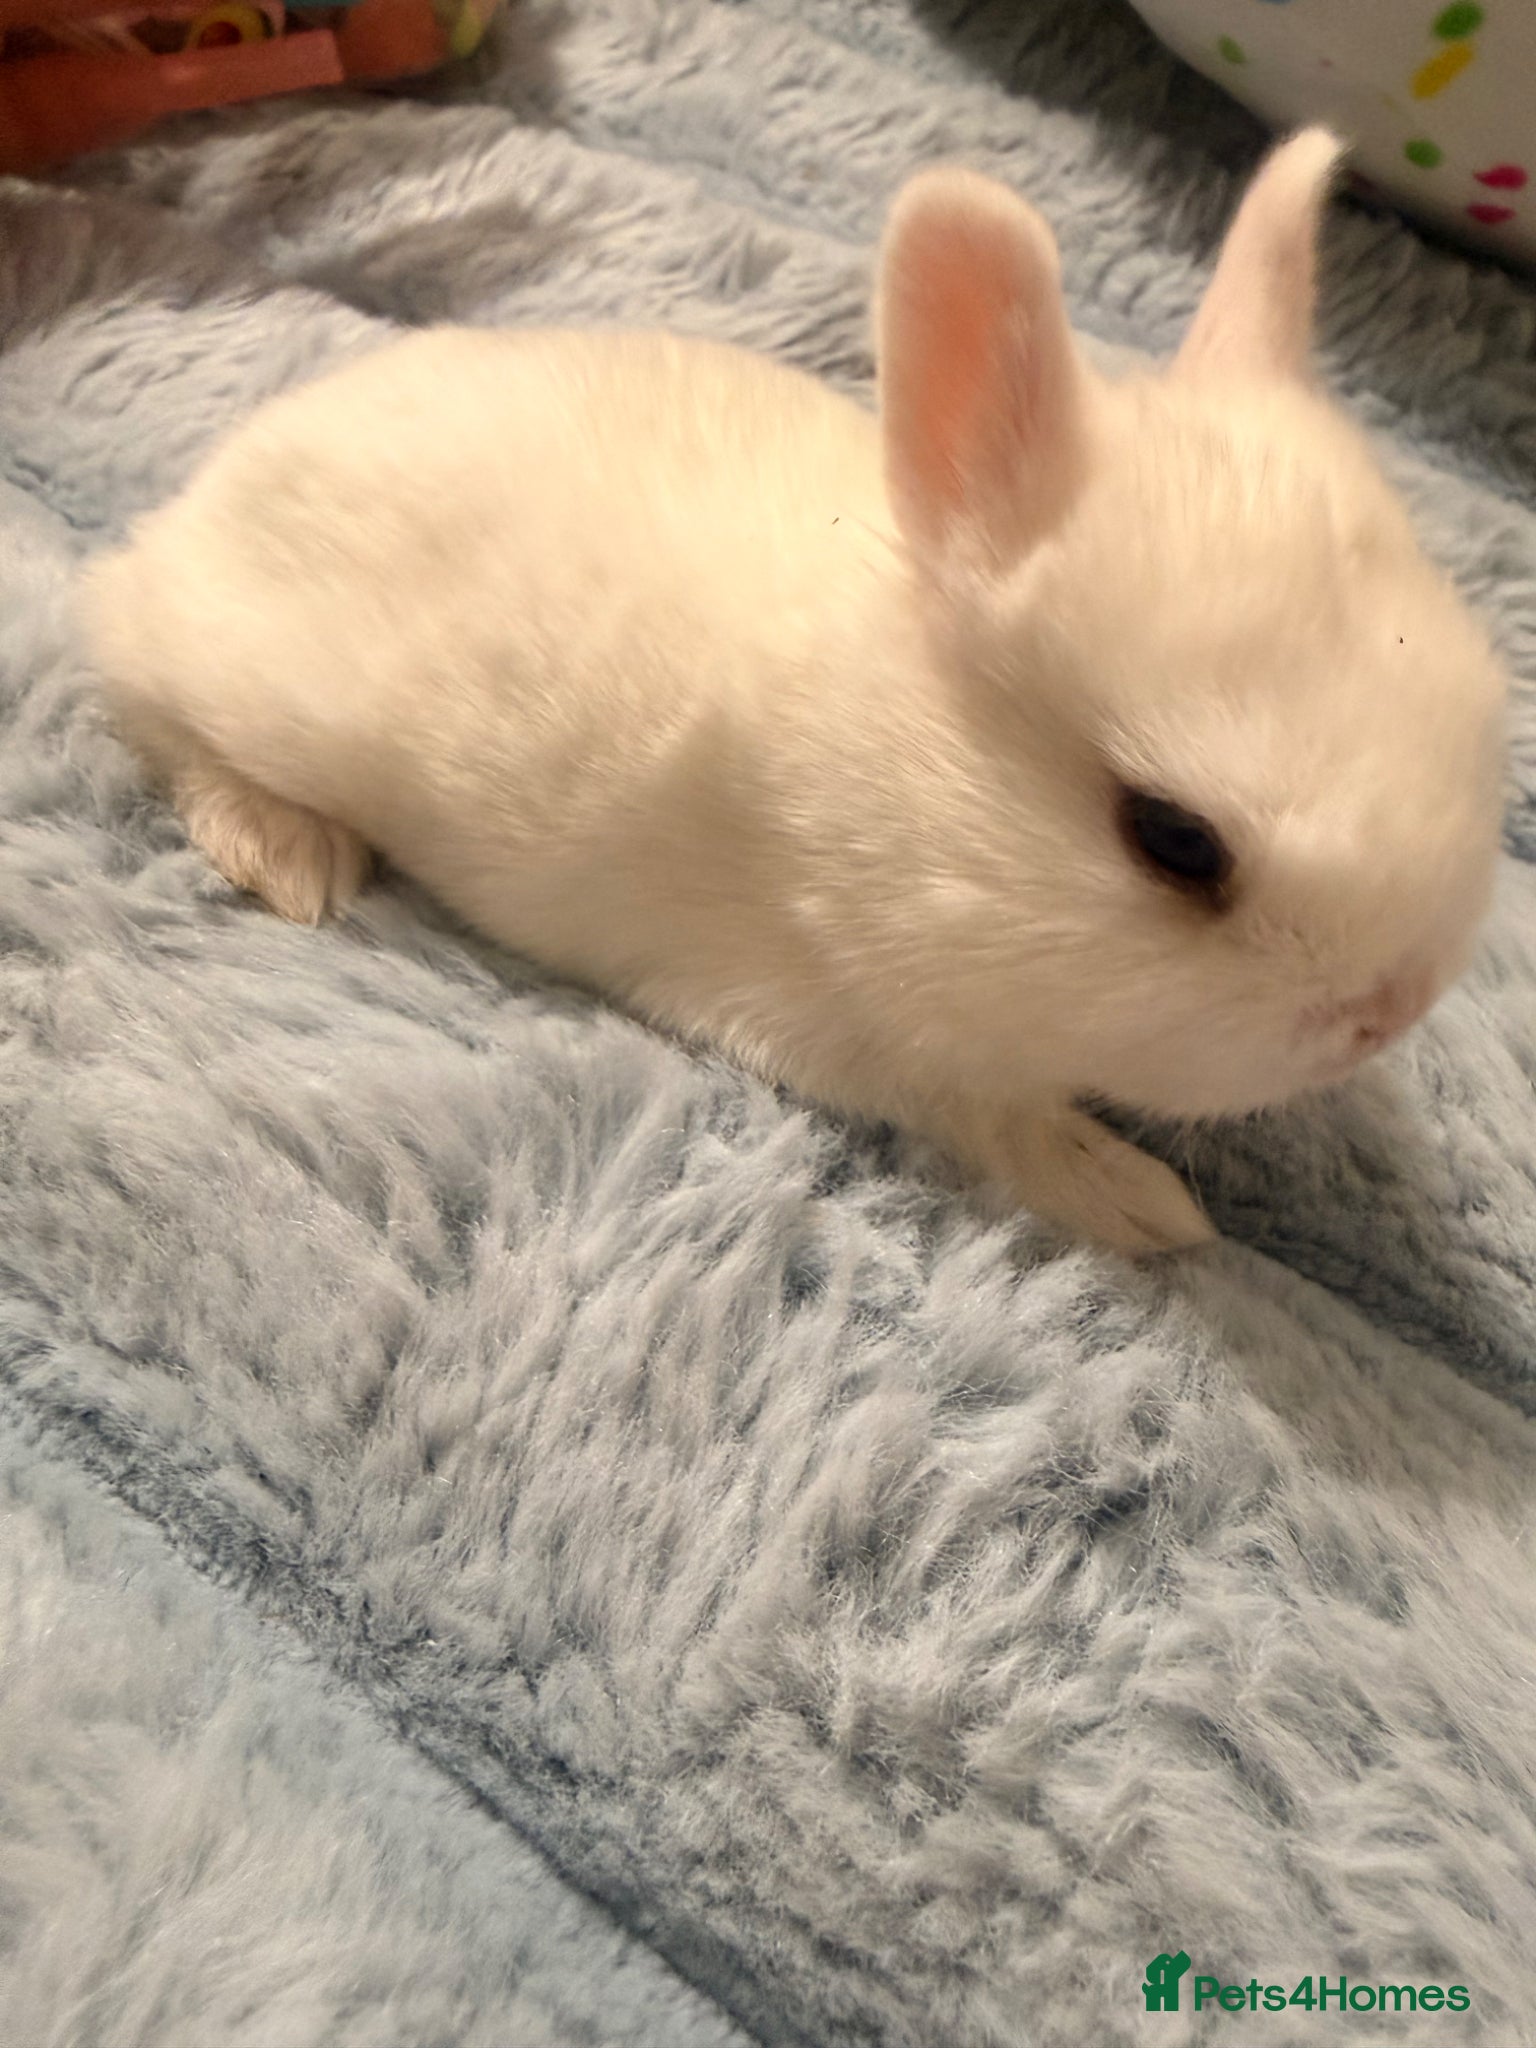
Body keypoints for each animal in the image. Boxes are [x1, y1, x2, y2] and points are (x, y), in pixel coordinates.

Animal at [81, 128, 1507, 1253]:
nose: (1387, 1011)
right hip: (242, 672)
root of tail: (203, 494)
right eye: (1175, 840)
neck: (907, 781)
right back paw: (286, 853)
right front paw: (1149, 1208)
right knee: (138, 684)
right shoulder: (890, 1041)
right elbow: (1016, 1128)